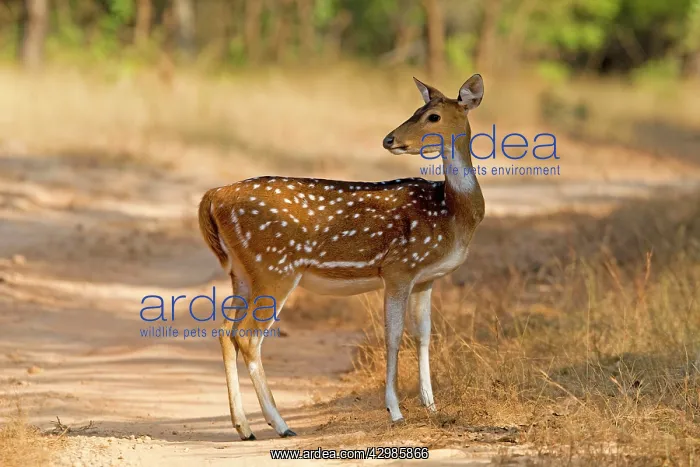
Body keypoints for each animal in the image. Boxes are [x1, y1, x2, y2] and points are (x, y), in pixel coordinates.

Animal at [198, 74, 485, 440]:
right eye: (416, 111)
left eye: (432, 115)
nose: (389, 139)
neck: (451, 215)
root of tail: (213, 197)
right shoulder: (399, 268)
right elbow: (393, 336)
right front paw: (395, 412)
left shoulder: (426, 278)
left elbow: (423, 335)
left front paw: (432, 407)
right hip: (274, 267)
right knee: (247, 336)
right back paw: (281, 425)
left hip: (241, 273)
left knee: (225, 331)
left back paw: (244, 427)